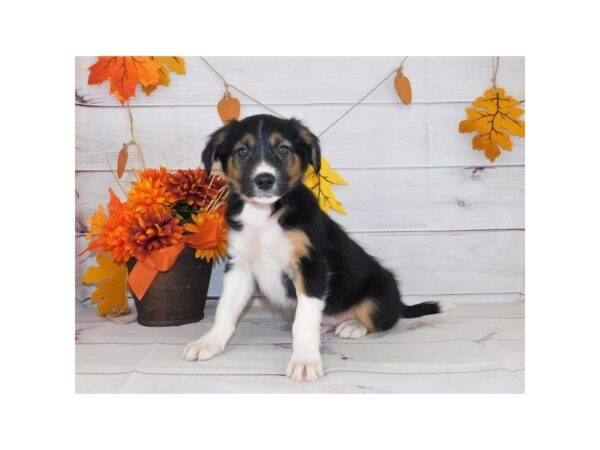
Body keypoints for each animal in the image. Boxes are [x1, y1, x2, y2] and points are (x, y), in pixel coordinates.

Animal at [180, 114, 452, 382]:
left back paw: (353, 325)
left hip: (378, 293)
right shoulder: (240, 268)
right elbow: (225, 311)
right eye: (242, 151)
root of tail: (399, 301)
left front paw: (304, 361)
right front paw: (209, 342)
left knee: (382, 320)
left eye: (283, 149)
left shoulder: (311, 267)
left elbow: (303, 321)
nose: (265, 180)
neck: (265, 214)